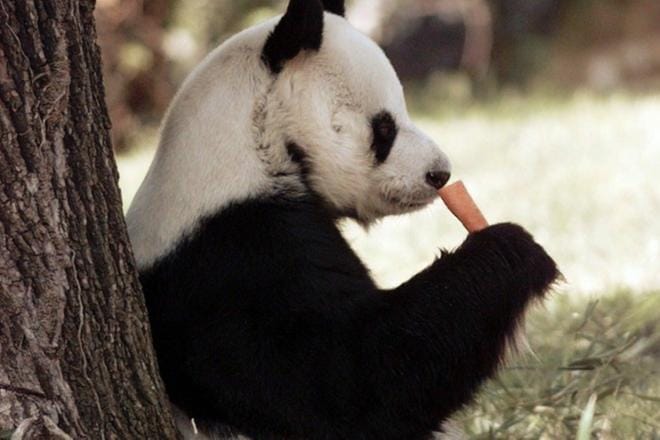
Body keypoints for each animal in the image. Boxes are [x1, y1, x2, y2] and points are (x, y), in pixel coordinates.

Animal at [125, 0, 559, 438]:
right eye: (383, 127)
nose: (439, 173)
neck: (247, 148)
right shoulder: (236, 262)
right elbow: (345, 385)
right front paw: (514, 248)